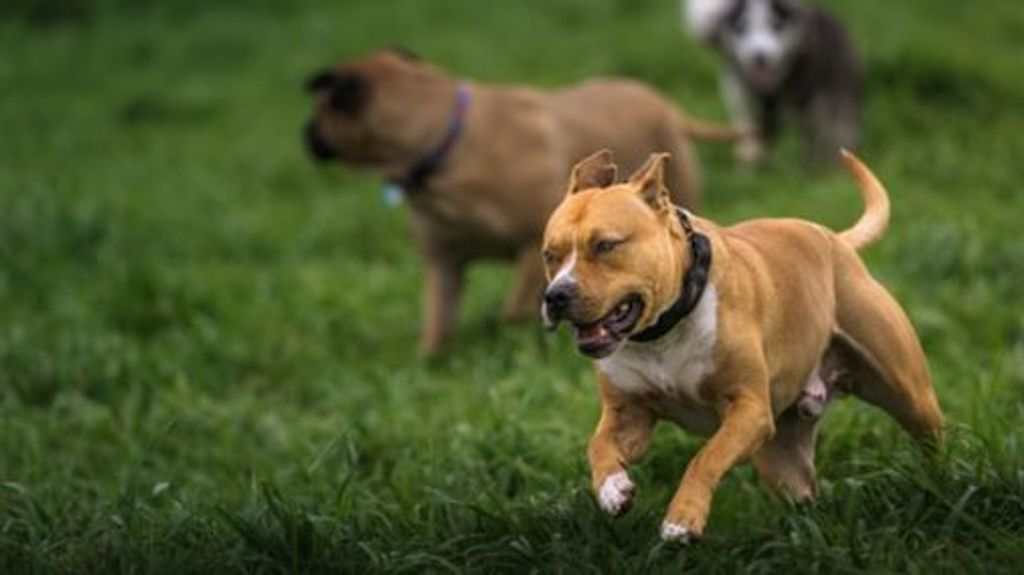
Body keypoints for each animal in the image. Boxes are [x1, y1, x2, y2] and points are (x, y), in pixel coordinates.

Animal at [299, 49, 741, 354]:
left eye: (320, 111)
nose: (306, 133)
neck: (446, 140)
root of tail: (668, 107)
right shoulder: (444, 263)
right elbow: (437, 325)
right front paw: (429, 362)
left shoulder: (529, 246)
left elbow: (513, 311)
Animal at [544, 148, 942, 540]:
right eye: (549, 254)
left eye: (605, 246)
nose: (555, 295)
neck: (662, 335)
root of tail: (834, 240)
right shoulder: (629, 413)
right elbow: (598, 446)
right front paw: (612, 489)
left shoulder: (748, 410)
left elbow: (706, 457)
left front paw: (682, 519)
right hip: (781, 457)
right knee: (802, 493)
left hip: (908, 393)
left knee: (930, 436)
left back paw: (939, 482)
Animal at [679, 0, 864, 168]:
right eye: (742, 28)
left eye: (776, 26)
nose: (759, 57)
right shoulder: (739, 86)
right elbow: (749, 123)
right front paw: (752, 160)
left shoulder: (805, 93)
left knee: (833, 126)